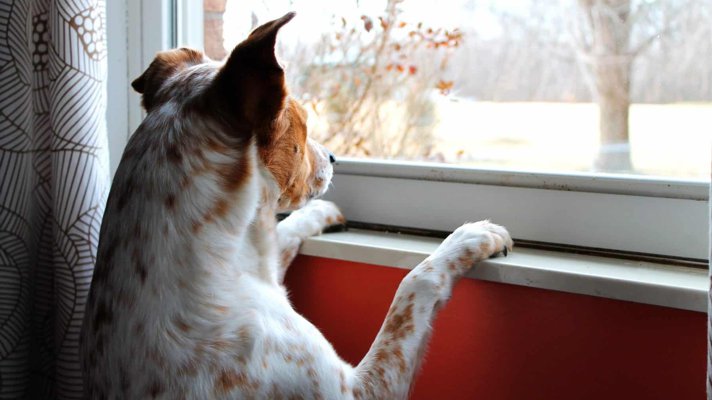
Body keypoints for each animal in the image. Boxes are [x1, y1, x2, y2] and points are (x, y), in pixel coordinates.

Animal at [80, 12, 508, 400]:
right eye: (302, 120)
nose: (334, 157)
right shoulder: (360, 390)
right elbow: (415, 283)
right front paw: (472, 237)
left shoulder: (266, 260)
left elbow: (285, 230)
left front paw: (324, 213)